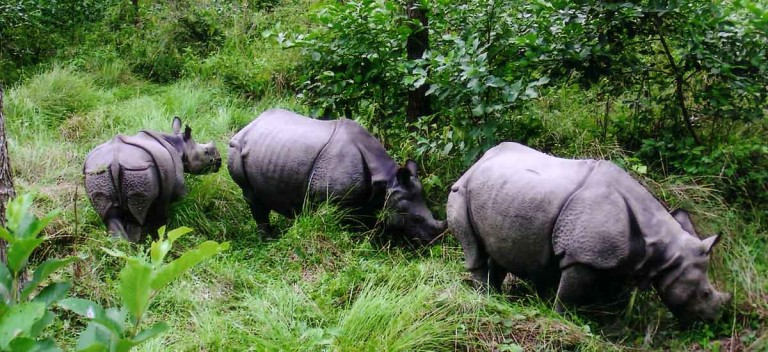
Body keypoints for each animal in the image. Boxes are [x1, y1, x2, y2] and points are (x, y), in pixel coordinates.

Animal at [84, 118, 222, 242]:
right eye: (206, 152)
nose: (219, 160)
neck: (179, 145)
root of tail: (114, 162)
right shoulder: (176, 186)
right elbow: (178, 204)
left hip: (96, 174)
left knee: (110, 216)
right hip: (137, 173)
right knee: (136, 218)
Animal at [226, 109, 444, 242]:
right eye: (415, 219)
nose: (433, 241)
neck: (388, 180)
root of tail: (249, 125)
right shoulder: (327, 199)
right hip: (236, 148)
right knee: (251, 195)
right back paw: (268, 239)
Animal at [450, 142, 732, 322]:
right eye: (705, 293)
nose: (714, 319)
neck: (664, 249)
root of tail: (476, 163)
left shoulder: (617, 259)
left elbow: (610, 296)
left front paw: (610, 325)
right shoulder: (581, 257)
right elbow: (569, 294)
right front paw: (563, 320)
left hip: (500, 191)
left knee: (497, 249)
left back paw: (497, 297)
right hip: (461, 191)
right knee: (473, 247)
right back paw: (484, 298)